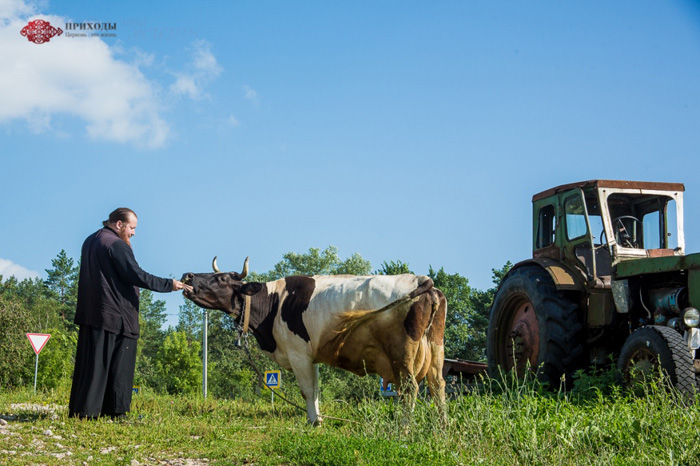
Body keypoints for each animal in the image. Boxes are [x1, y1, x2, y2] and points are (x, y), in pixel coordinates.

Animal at [181, 257, 446, 425]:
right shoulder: (311, 356)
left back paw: (404, 428)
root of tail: (422, 280)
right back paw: (442, 427)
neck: (275, 303)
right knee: (438, 385)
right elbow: (316, 390)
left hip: (403, 353)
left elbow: (307, 390)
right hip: (436, 350)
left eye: (222, 279)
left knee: (411, 388)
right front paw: (317, 418)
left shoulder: (298, 353)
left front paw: (313, 422)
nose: (187, 275)